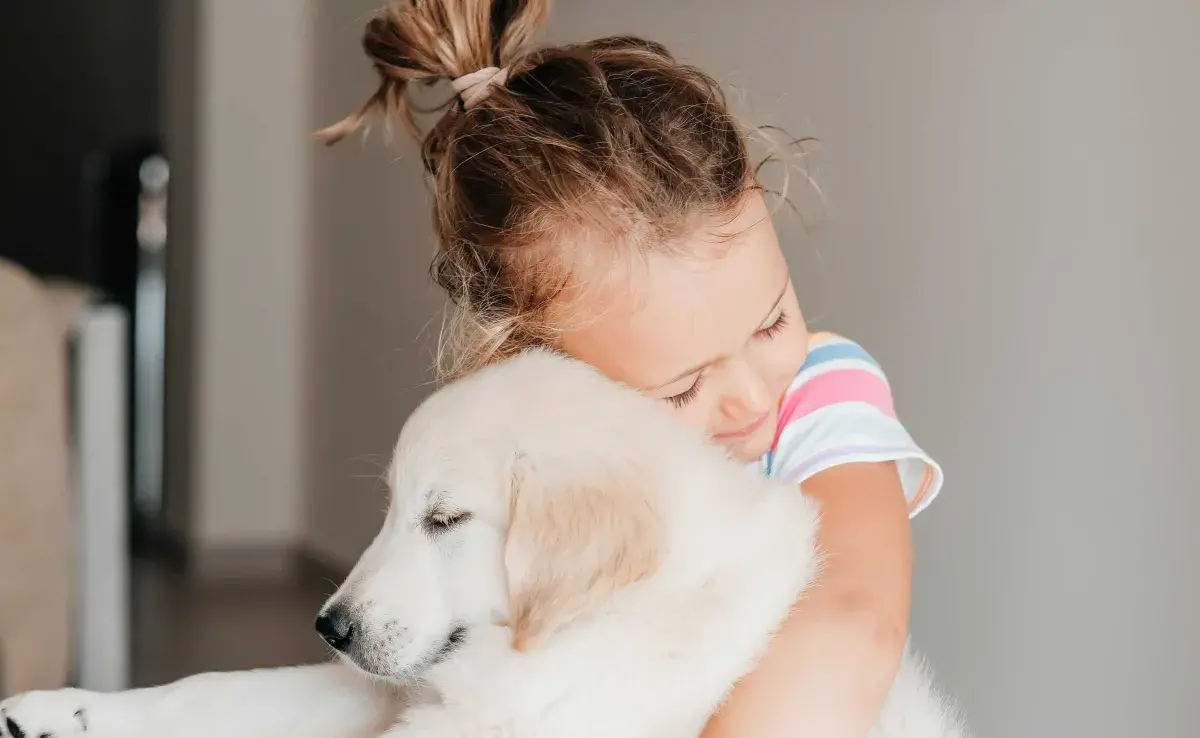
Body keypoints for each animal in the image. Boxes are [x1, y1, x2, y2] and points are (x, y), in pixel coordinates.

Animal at [0, 350, 960, 738]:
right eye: (393, 508)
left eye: (445, 519)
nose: (330, 627)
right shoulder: (399, 691)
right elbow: (211, 690)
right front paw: (59, 710)